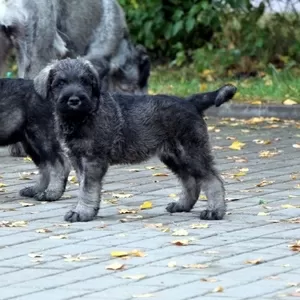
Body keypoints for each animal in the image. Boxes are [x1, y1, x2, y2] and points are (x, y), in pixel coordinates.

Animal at [34, 58, 237, 223]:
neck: (81, 117)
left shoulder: (92, 160)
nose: (74, 100)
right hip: (174, 155)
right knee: (190, 181)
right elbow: (85, 187)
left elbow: (87, 188)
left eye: (85, 81)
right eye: (60, 83)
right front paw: (87, 210)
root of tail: (191, 102)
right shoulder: (78, 160)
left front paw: (82, 213)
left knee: (212, 180)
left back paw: (214, 211)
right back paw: (182, 205)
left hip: (191, 152)